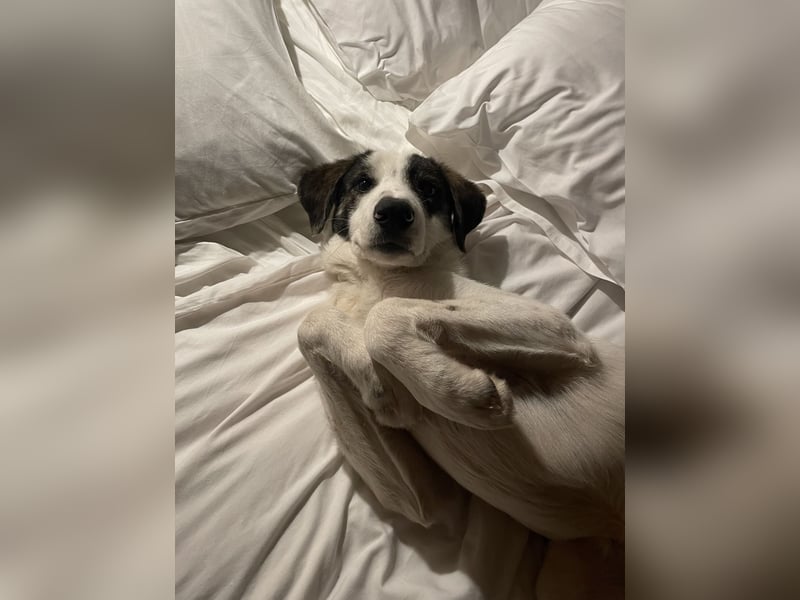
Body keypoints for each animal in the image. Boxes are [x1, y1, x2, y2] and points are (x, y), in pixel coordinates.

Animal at [296, 149, 625, 545]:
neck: (381, 279)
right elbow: (310, 324)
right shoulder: (419, 502)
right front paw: (380, 384)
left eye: (428, 188)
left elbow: (383, 316)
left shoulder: (558, 329)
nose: (394, 212)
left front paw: (465, 394)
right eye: (362, 183)